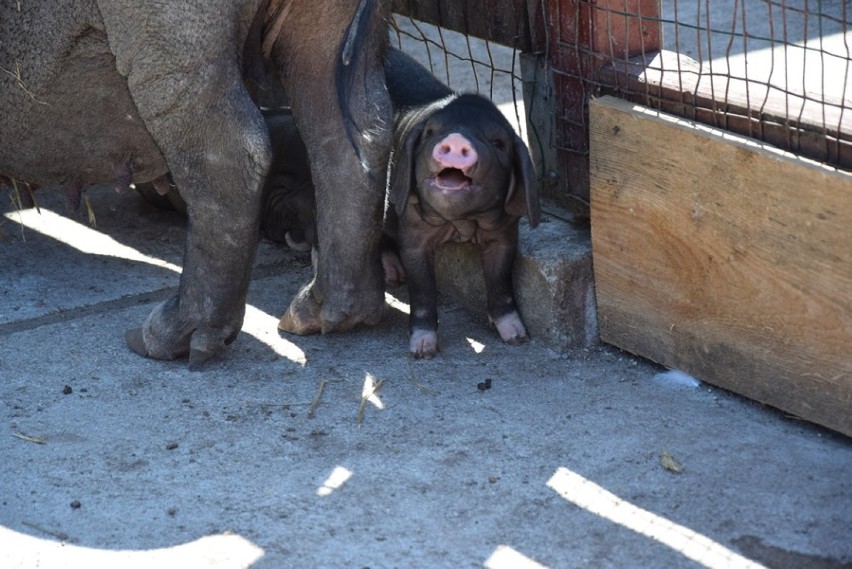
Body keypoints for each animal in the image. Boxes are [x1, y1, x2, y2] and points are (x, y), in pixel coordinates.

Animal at [0, 0, 392, 366]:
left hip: (176, 36)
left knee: (230, 150)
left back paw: (163, 340)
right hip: (326, 24)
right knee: (358, 129)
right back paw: (317, 316)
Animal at [386, 51, 540, 358]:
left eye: (498, 142)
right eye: (431, 132)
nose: (456, 139)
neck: (461, 223)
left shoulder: (504, 233)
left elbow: (500, 279)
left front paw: (517, 337)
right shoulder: (411, 230)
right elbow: (422, 290)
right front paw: (423, 351)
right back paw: (394, 275)